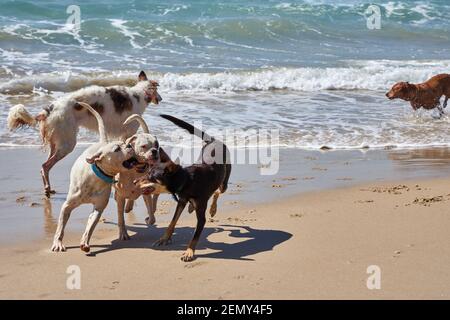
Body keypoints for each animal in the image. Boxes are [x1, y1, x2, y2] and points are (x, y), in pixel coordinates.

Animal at [7, 71, 162, 198]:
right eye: (157, 91)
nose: (160, 99)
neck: (140, 93)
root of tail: (50, 109)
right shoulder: (128, 133)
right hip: (67, 144)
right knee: (45, 166)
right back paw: (47, 189)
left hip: (57, 143)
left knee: (44, 167)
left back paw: (48, 189)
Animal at [51, 102, 139, 252]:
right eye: (117, 149)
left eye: (124, 144)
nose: (129, 145)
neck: (97, 177)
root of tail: (102, 142)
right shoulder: (67, 206)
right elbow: (60, 226)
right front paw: (58, 243)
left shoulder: (99, 207)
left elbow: (91, 226)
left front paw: (85, 242)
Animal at [135, 114, 230, 262]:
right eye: (147, 172)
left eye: (151, 176)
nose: (134, 181)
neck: (187, 181)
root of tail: (214, 140)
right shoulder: (181, 201)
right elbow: (172, 221)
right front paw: (164, 238)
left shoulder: (200, 214)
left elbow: (195, 235)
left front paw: (189, 252)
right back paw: (192, 207)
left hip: (224, 180)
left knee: (218, 191)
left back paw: (213, 209)